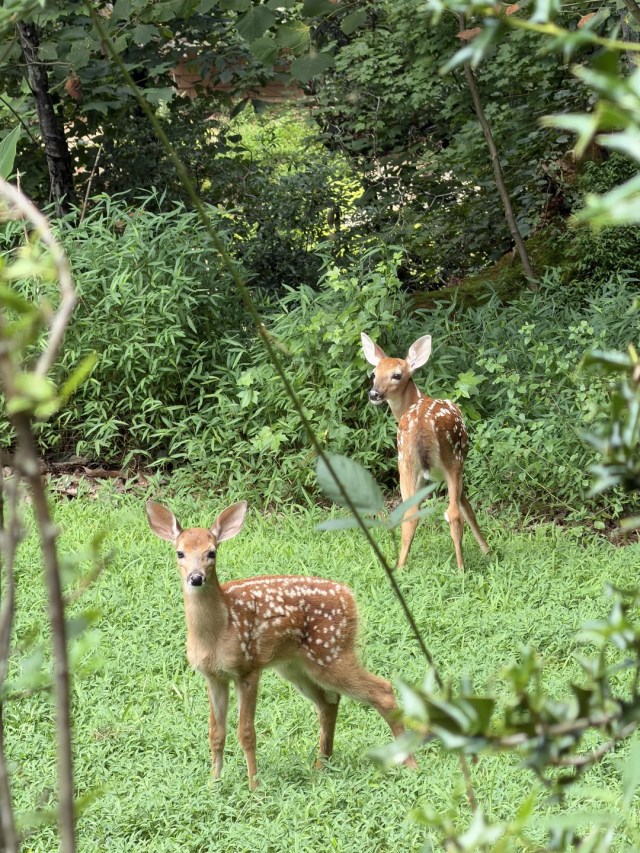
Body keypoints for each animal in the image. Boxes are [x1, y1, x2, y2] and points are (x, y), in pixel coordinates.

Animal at [145, 498, 417, 789]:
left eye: (212, 553)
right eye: (180, 553)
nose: (196, 578)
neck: (220, 630)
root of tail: (350, 596)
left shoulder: (248, 668)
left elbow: (246, 733)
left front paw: (254, 787)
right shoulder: (214, 676)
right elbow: (216, 733)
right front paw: (213, 784)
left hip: (331, 652)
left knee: (382, 689)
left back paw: (410, 763)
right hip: (295, 666)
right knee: (328, 701)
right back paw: (322, 763)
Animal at [361, 332, 490, 571]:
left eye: (396, 375)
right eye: (374, 373)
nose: (374, 394)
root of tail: (422, 424)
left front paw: (487, 550)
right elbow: (466, 506)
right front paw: (487, 551)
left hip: (410, 461)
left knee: (417, 513)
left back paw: (402, 566)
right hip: (448, 459)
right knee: (450, 512)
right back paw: (460, 568)